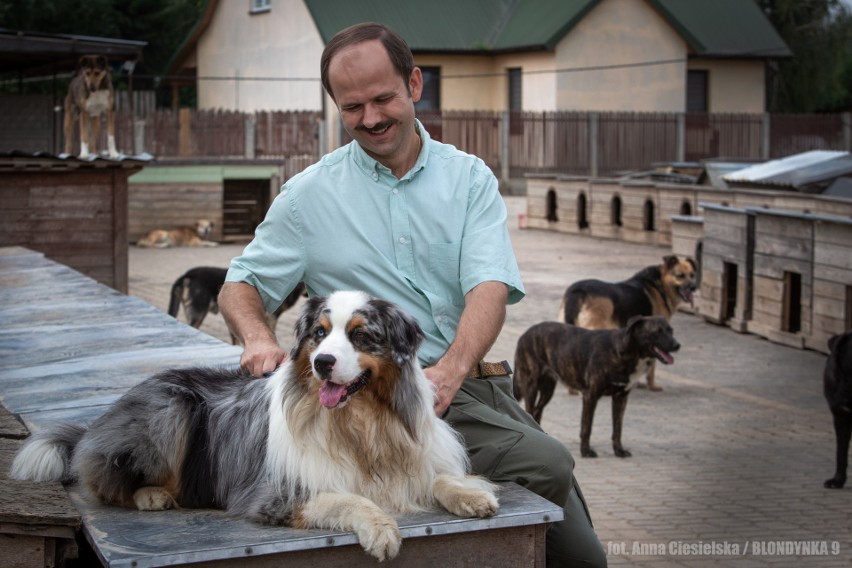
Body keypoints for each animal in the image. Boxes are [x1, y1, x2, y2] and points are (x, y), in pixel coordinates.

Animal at [10, 290, 496, 560]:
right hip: (170, 410)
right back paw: (150, 495)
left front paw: (471, 495)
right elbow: (347, 498)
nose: (322, 363)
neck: (361, 423)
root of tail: (99, 424)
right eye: (319, 334)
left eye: (360, 335)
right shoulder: (276, 494)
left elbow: (436, 477)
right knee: (103, 480)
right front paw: (380, 529)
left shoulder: (408, 461)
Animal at [512, 316, 680, 458]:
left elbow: (617, 429)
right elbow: (587, 427)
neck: (624, 352)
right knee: (530, 410)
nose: (677, 345)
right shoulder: (590, 396)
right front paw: (586, 451)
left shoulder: (621, 398)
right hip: (531, 386)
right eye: (657, 332)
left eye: (671, 330)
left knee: (537, 412)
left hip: (548, 389)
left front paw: (619, 451)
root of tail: (525, 334)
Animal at [564, 254, 696, 390]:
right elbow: (653, 364)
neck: (660, 284)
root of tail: (579, 291)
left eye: (692, 275)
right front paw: (652, 385)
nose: (694, 287)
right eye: (680, 276)